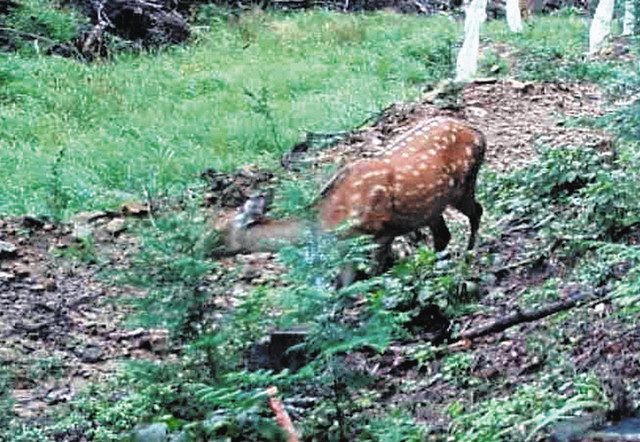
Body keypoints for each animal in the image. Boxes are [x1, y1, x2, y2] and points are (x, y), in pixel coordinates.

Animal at [214, 115, 484, 284]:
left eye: (216, 231)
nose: (202, 251)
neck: (328, 219)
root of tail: (479, 133)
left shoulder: (381, 230)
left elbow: (373, 274)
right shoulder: (346, 247)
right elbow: (343, 285)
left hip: (464, 185)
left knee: (477, 211)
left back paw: (468, 256)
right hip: (431, 205)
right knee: (443, 235)